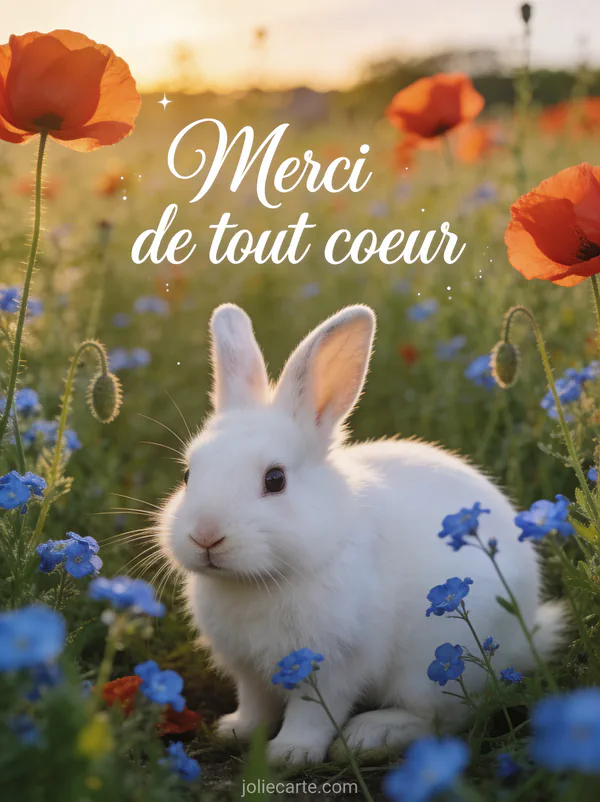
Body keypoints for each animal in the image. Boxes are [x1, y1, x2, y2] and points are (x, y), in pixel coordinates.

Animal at [158, 302, 563, 765]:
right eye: (188, 475)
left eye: (275, 479)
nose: (206, 536)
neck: (259, 580)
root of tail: (527, 633)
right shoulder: (250, 670)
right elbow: (256, 703)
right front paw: (235, 731)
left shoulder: (336, 663)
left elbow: (314, 712)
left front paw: (291, 753)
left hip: (434, 665)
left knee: (448, 714)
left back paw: (369, 736)